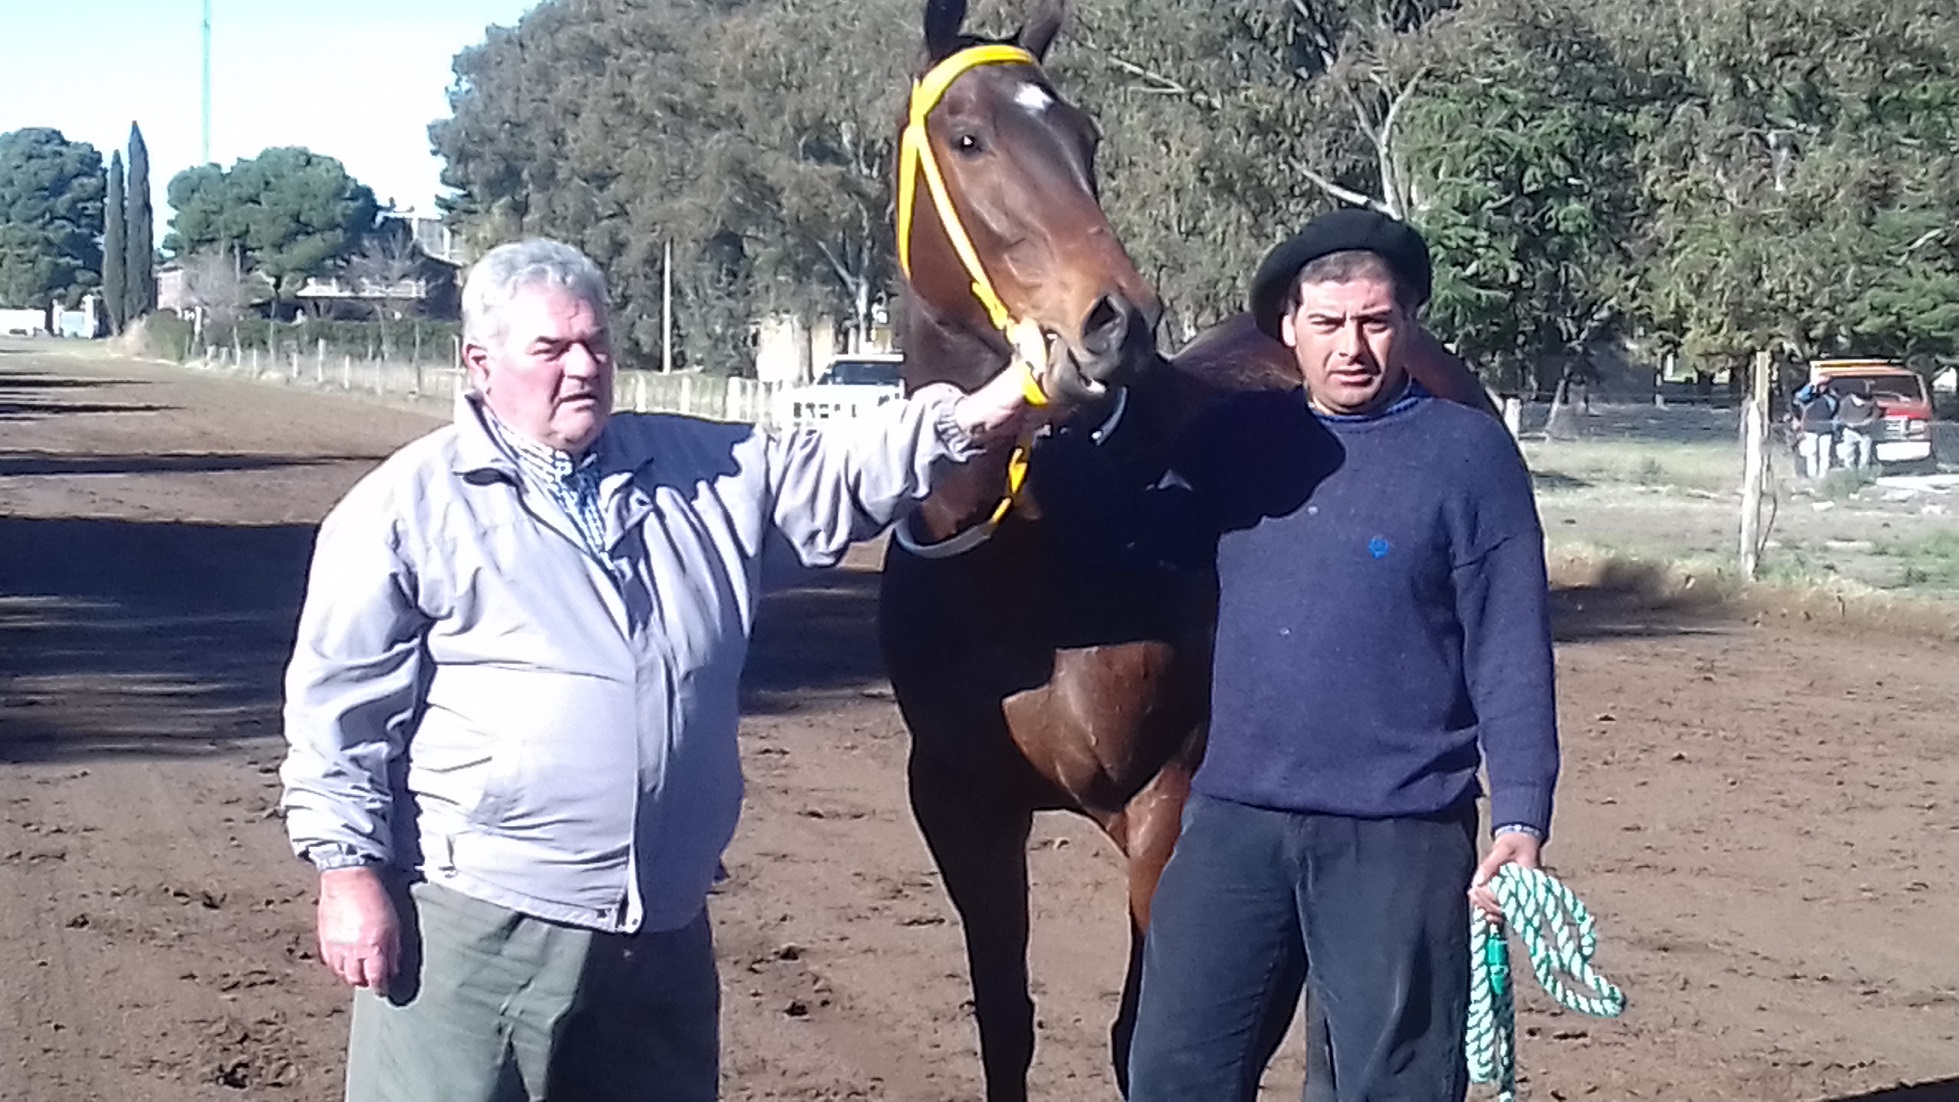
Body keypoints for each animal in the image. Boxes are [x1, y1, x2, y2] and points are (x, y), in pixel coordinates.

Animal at [877, 2, 1495, 1098]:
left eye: (1084, 138)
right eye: (969, 137)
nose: (1116, 317)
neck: (1030, 564)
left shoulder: (1168, 805)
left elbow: (1153, 1037)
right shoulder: (960, 807)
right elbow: (1006, 1024)